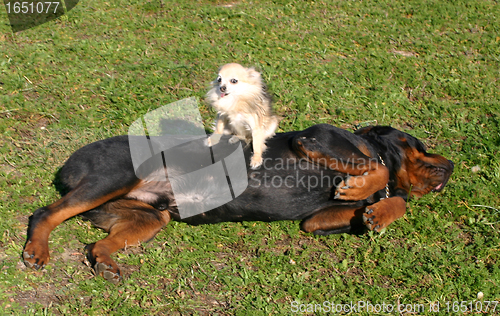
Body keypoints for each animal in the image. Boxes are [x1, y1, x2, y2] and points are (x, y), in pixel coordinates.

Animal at [22, 123, 454, 282]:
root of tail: (69, 164)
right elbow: (376, 167)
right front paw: (368, 187)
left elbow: (388, 200)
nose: (451, 165)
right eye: (419, 146)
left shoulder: (317, 220)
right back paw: (36, 251)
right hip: (112, 177)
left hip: (149, 215)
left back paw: (106, 262)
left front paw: (377, 210)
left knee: (98, 241)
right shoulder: (317, 138)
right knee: (45, 212)